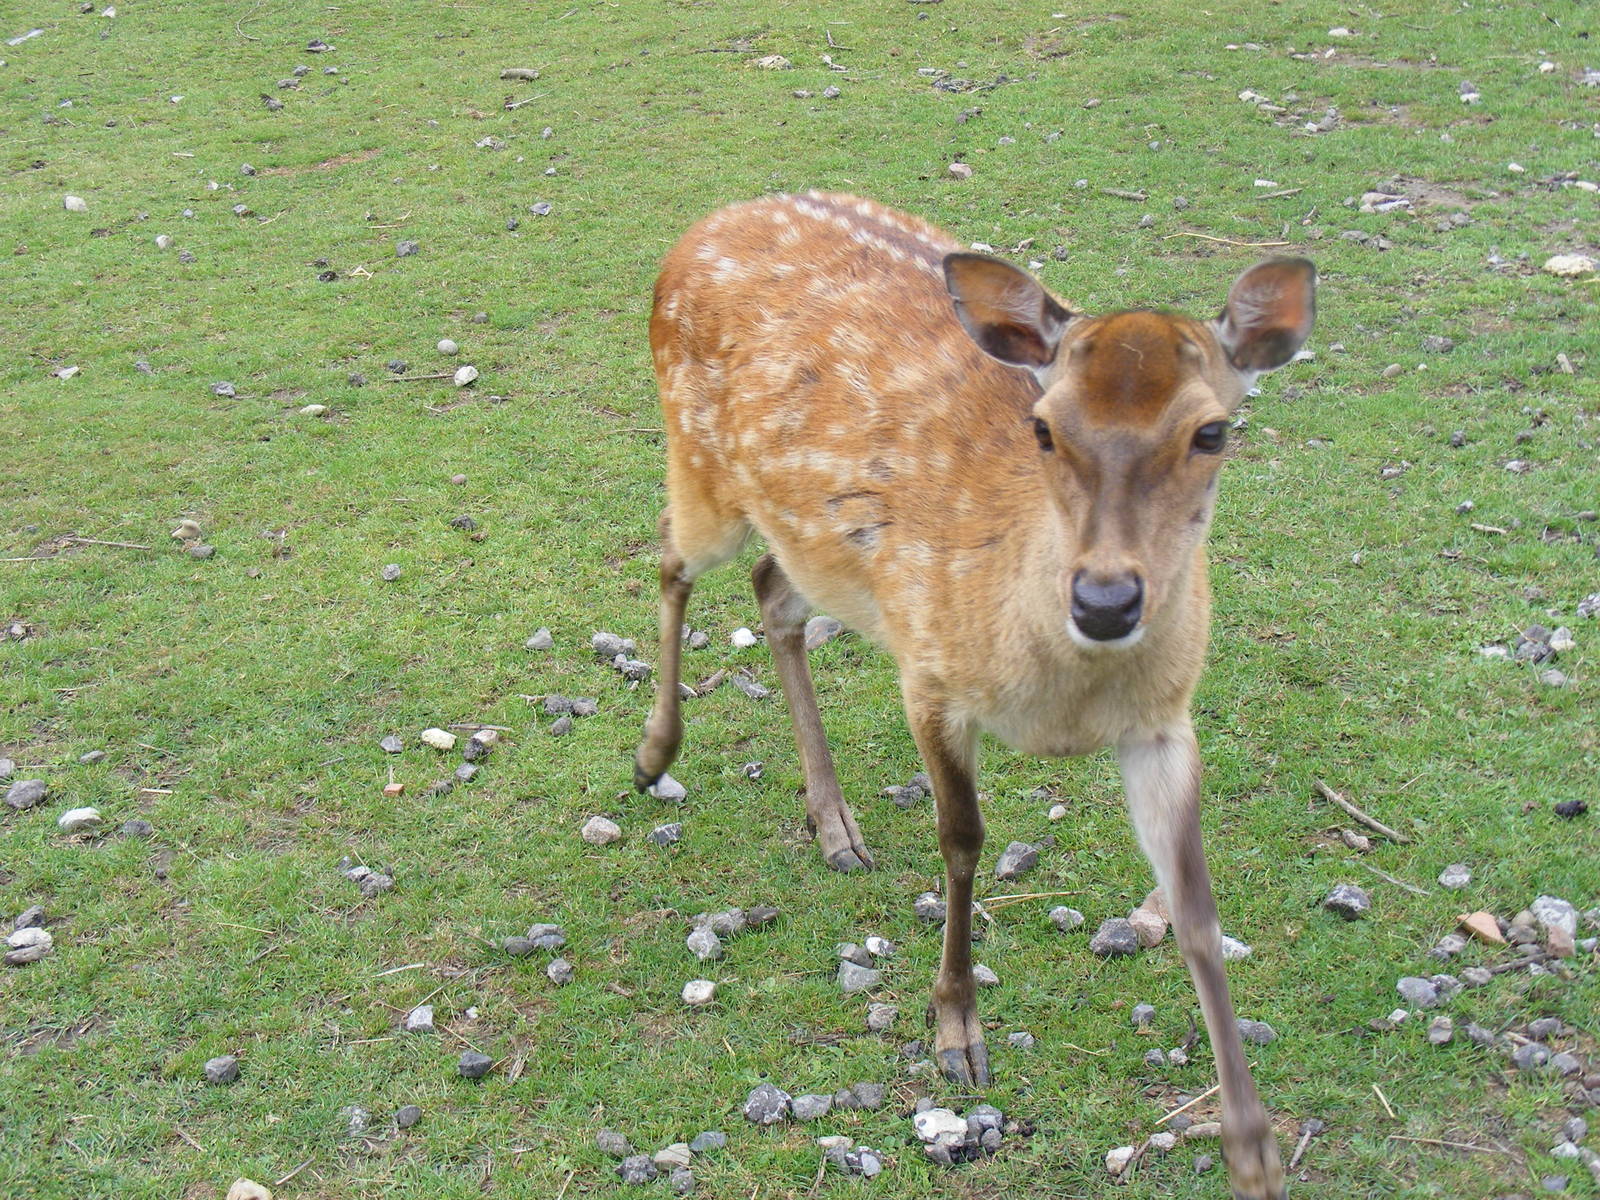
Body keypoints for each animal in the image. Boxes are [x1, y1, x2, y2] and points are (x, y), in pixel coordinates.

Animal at [632, 190, 1314, 1200]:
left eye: (1211, 431)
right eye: (1044, 427)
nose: (1105, 600)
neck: (1061, 700)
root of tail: (699, 230)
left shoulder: (1164, 722)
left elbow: (1192, 905)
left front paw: (1252, 1146)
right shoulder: (929, 669)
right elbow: (962, 842)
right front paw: (957, 1030)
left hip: (811, 540)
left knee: (770, 591)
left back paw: (834, 825)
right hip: (701, 464)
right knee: (672, 561)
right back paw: (654, 755)